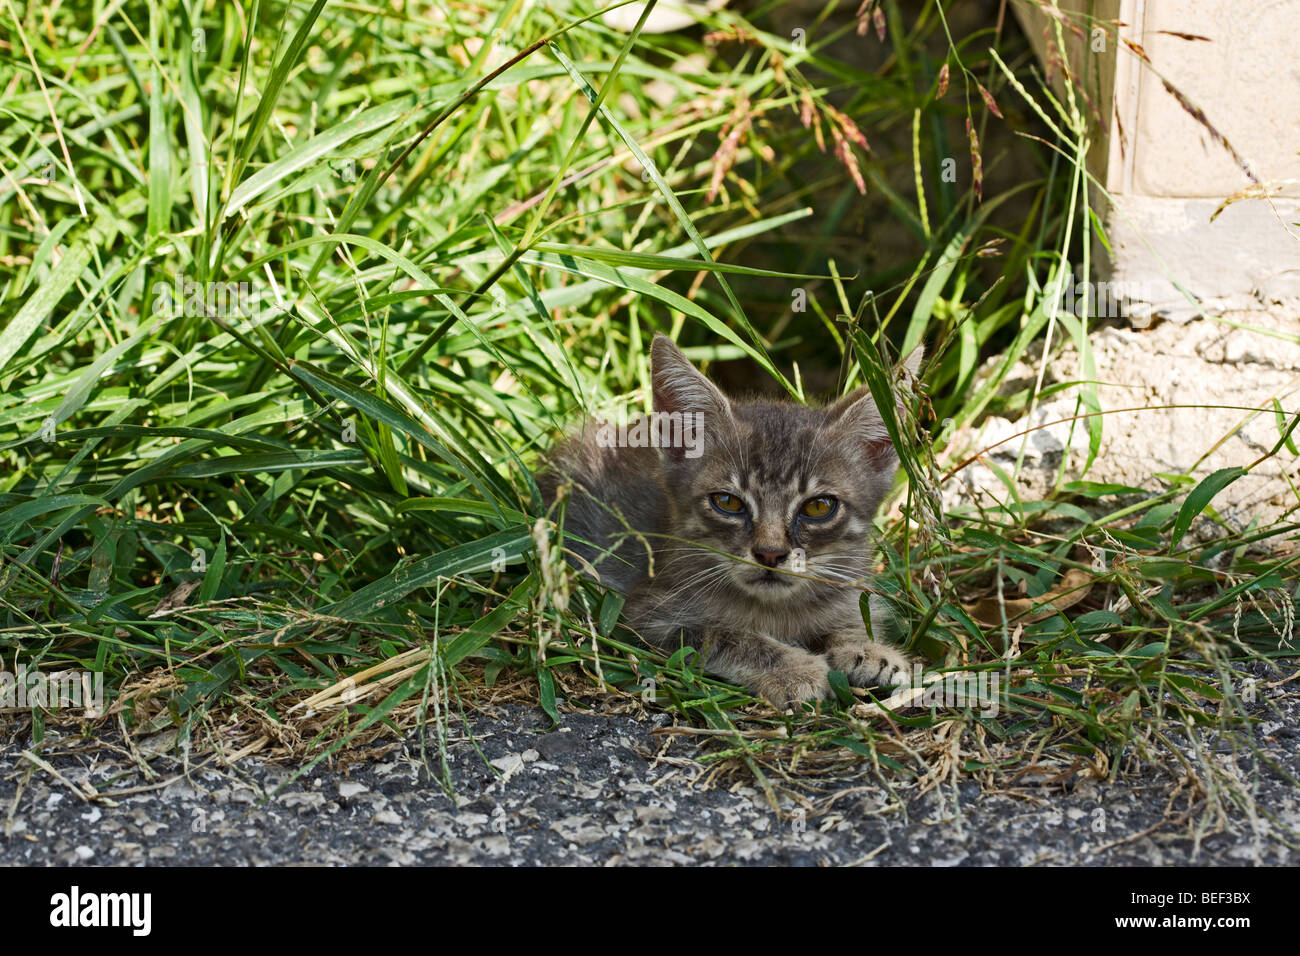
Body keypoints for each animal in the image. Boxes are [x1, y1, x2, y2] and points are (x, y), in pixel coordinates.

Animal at [543, 335, 920, 702]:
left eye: (818, 507)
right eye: (727, 502)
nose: (770, 553)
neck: (776, 611)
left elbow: (851, 620)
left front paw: (867, 649)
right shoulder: (646, 614)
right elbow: (726, 635)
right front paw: (795, 669)